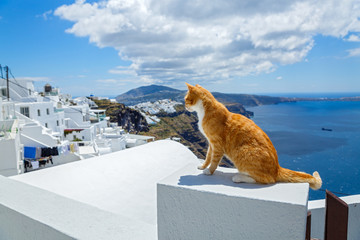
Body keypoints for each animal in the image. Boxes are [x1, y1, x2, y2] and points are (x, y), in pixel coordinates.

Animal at [184, 83, 322, 190]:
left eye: (186, 99)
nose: (184, 106)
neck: (204, 111)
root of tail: (277, 168)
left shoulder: (217, 144)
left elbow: (214, 160)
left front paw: (209, 171)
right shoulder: (211, 143)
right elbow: (208, 157)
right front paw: (203, 166)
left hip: (244, 152)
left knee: (267, 179)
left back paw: (239, 177)